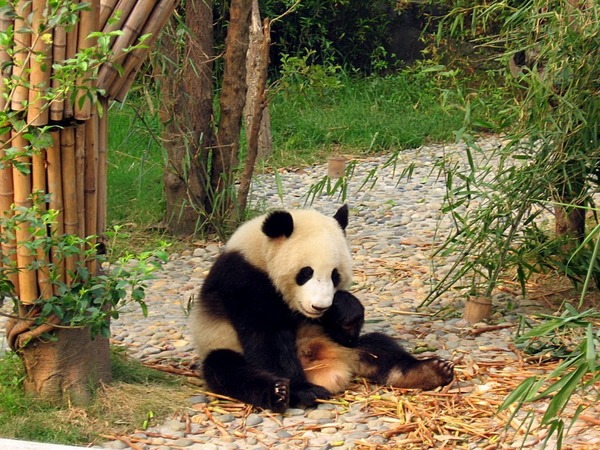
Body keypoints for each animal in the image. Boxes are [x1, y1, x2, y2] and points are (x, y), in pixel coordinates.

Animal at [192, 206, 454, 414]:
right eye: (305, 273)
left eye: (335, 275)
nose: (319, 306)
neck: (259, 253)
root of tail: (332, 370)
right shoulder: (243, 281)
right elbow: (266, 338)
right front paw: (303, 391)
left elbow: (346, 329)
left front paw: (345, 310)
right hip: (221, 344)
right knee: (225, 368)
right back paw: (279, 393)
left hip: (343, 347)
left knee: (378, 346)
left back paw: (429, 371)